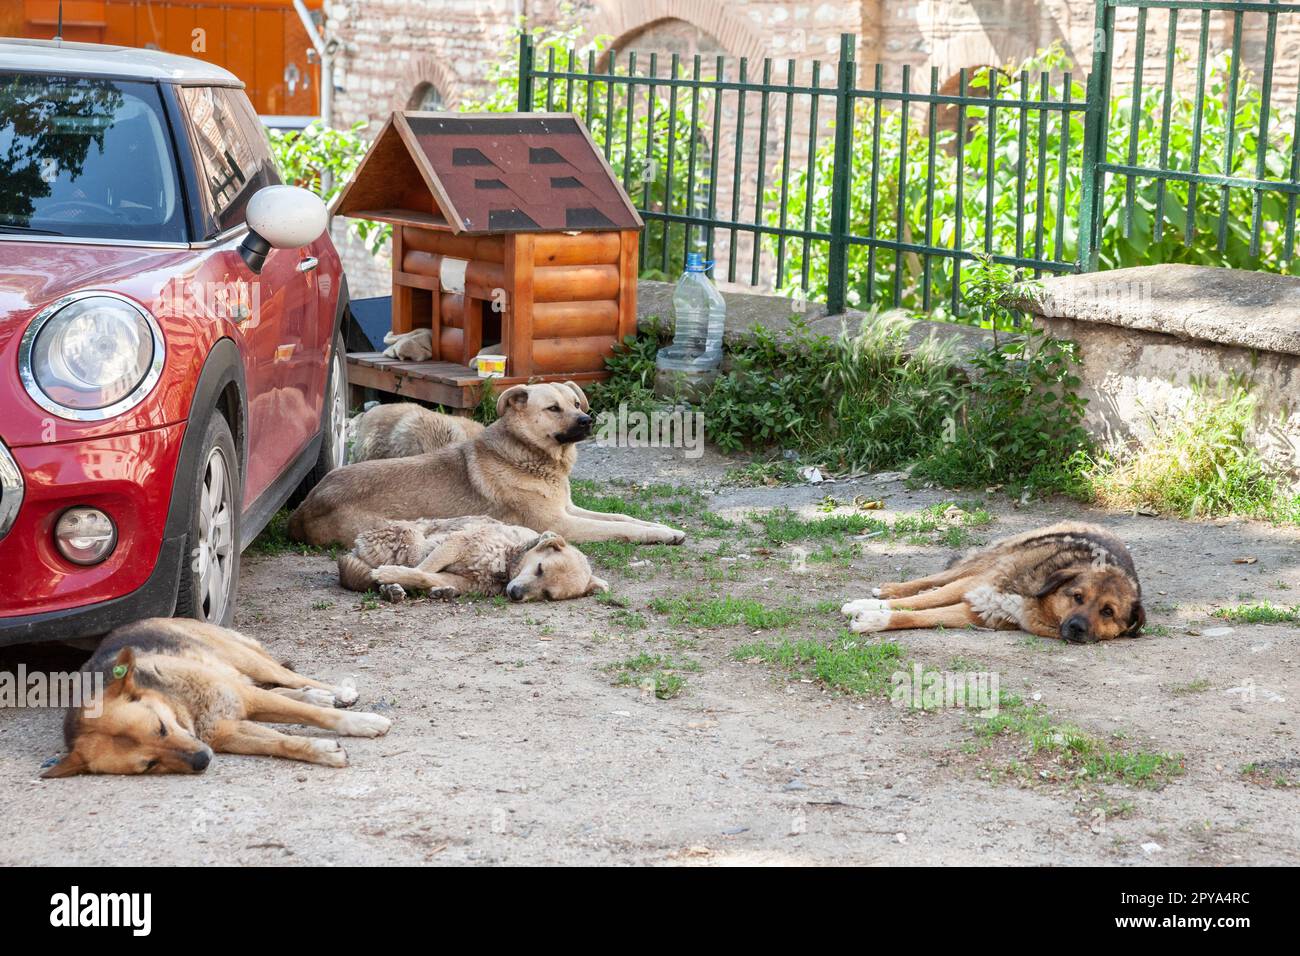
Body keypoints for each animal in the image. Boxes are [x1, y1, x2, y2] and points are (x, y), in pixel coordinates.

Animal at [44, 621, 390, 780]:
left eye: (160, 728)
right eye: (149, 764)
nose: (202, 760)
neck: (185, 707)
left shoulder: (243, 699)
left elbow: (314, 715)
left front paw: (363, 722)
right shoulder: (229, 732)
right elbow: (283, 742)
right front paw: (322, 751)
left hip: (246, 660)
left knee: (289, 678)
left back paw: (336, 692)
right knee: (282, 690)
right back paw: (320, 696)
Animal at [340, 512, 613, 600]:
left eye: (548, 595)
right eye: (540, 569)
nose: (515, 594)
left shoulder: (464, 580)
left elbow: (424, 576)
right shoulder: (456, 544)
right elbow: (422, 569)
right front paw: (390, 575)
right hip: (411, 537)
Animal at [837, 520, 1144, 647]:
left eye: (1108, 612)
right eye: (1077, 597)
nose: (1077, 627)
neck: (1035, 601)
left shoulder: (978, 612)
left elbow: (914, 616)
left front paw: (873, 620)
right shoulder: (975, 585)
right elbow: (919, 602)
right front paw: (862, 607)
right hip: (984, 563)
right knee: (936, 579)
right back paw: (887, 589)